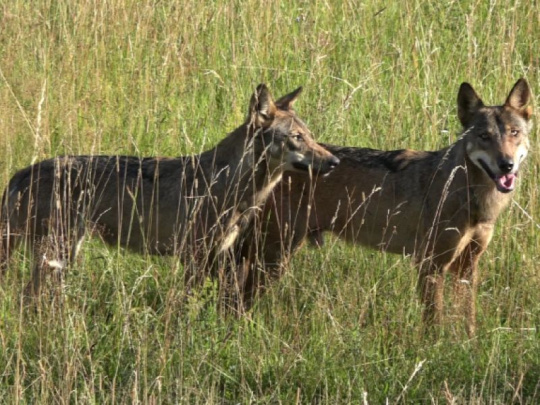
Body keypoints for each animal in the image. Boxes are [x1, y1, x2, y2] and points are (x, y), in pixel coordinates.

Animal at [0, 83, 338, 296]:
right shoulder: (194, 258)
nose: (334, 162)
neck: (231, 184)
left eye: (310, 135)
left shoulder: (218, 257)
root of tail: (22, 173)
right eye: (296, 137)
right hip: (57, 254)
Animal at [235, 78, 532, 334]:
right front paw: (436, 350)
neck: (474, 199)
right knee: (238, 301)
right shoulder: (430, 265)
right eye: (484, 136)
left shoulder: (468, 266)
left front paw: (468, 347)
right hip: (274, 258)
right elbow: (433, 322)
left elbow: (468, 318)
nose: (506, 165)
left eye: (514, 133)